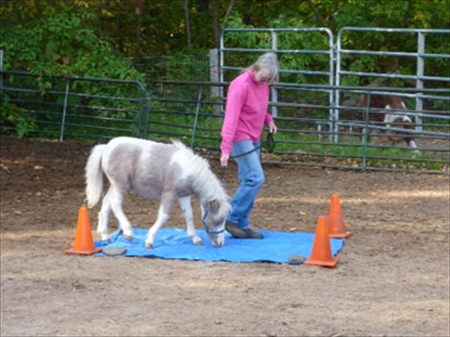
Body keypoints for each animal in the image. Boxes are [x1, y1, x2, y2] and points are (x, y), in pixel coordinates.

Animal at [84, 135, 230, 248]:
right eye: (217, 221)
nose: (220, 244)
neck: (187, 169)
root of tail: (106, 146)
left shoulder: (184, 195)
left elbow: (189, 215)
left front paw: (195, 238)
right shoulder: (168, 194)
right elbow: (163, 216)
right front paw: (149, 240)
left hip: (114, 186)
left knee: (106, 204)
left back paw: (105, 236)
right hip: (121, 186)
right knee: (115, 203)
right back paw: (128, 232)